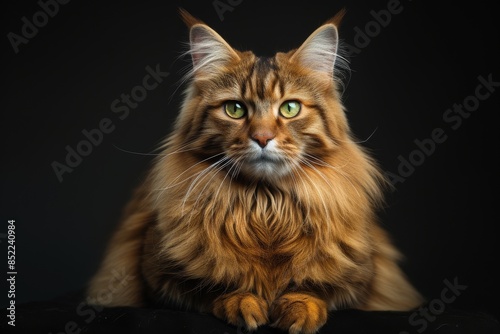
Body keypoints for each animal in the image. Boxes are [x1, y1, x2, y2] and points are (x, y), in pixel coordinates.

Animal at [88, 8, 424, 334]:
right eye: (235, 109)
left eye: (290, 108)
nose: (262, 138)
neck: (265, 205)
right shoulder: (156, 275)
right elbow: (214, 285)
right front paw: (243, 302)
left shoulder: (364, 277)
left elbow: (316, 287)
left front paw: (300, 309)